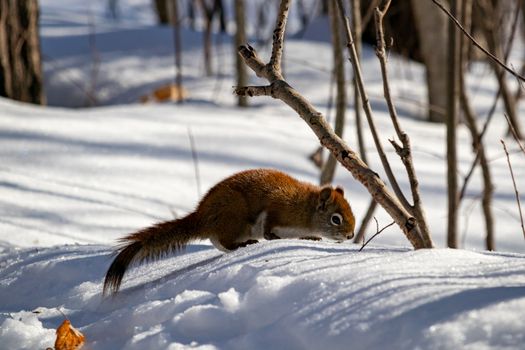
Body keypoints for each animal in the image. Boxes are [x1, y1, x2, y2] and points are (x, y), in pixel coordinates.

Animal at [103, 168, 354, 294]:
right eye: (336, 219)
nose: (351, 235)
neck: (304, 209)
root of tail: (203, 216)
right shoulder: (277, 206)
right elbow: (269, 224)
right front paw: (271, 236)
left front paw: (312, 237)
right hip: (234, 215)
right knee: (225, 240)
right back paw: (244, 244)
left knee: (220, 243)